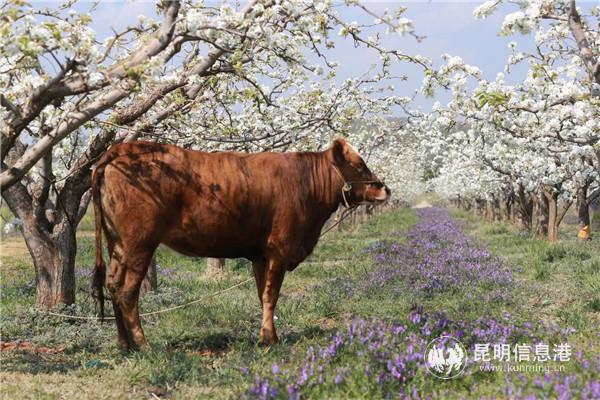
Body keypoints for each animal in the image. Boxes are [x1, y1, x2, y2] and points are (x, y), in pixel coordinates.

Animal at [89, 138, 390, 350]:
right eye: (360, 165)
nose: (384, 188)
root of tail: (120, 149)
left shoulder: (260, 255)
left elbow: (262, 294)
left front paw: (268, 335)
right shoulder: (280, 249)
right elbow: (271, 295)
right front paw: (269, 339)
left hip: (118, 244)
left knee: (113, 285)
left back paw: (124, 344)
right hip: (138, 244)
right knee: (128, 291)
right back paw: (143, 344)